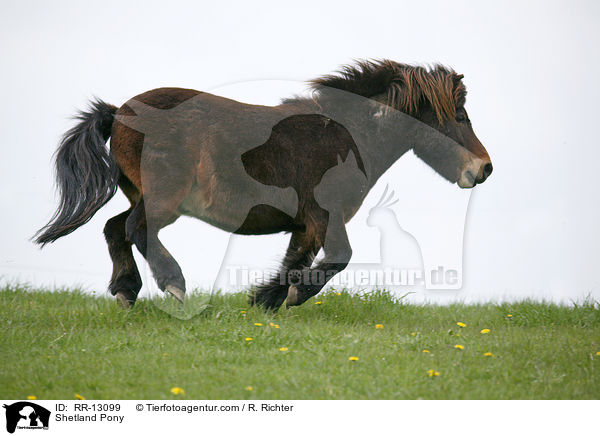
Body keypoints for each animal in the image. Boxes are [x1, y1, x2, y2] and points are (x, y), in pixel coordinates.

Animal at [34, 58, 492, 310]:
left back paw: (126, 292)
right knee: (134, 229)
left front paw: (265, 300)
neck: (344, 136)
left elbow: (294, 264)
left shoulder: (305, 225)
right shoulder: (325, 217)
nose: (484, 169)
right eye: (459, 116)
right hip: (165, 200)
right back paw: (174, 285)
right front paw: (291, 297)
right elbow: (337, 259)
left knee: (115, 228)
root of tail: (118, 114)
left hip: (144, 195)